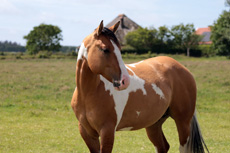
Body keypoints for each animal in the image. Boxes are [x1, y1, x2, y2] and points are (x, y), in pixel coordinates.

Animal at [71, 20, 209, 153]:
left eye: (120, 49)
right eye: (105, 49)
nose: (124, 81)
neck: (88, 93)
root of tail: (182, 68)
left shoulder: (107, 131)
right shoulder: (87, 133)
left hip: (183, 122)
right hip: (154, 124)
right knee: (163, 146)